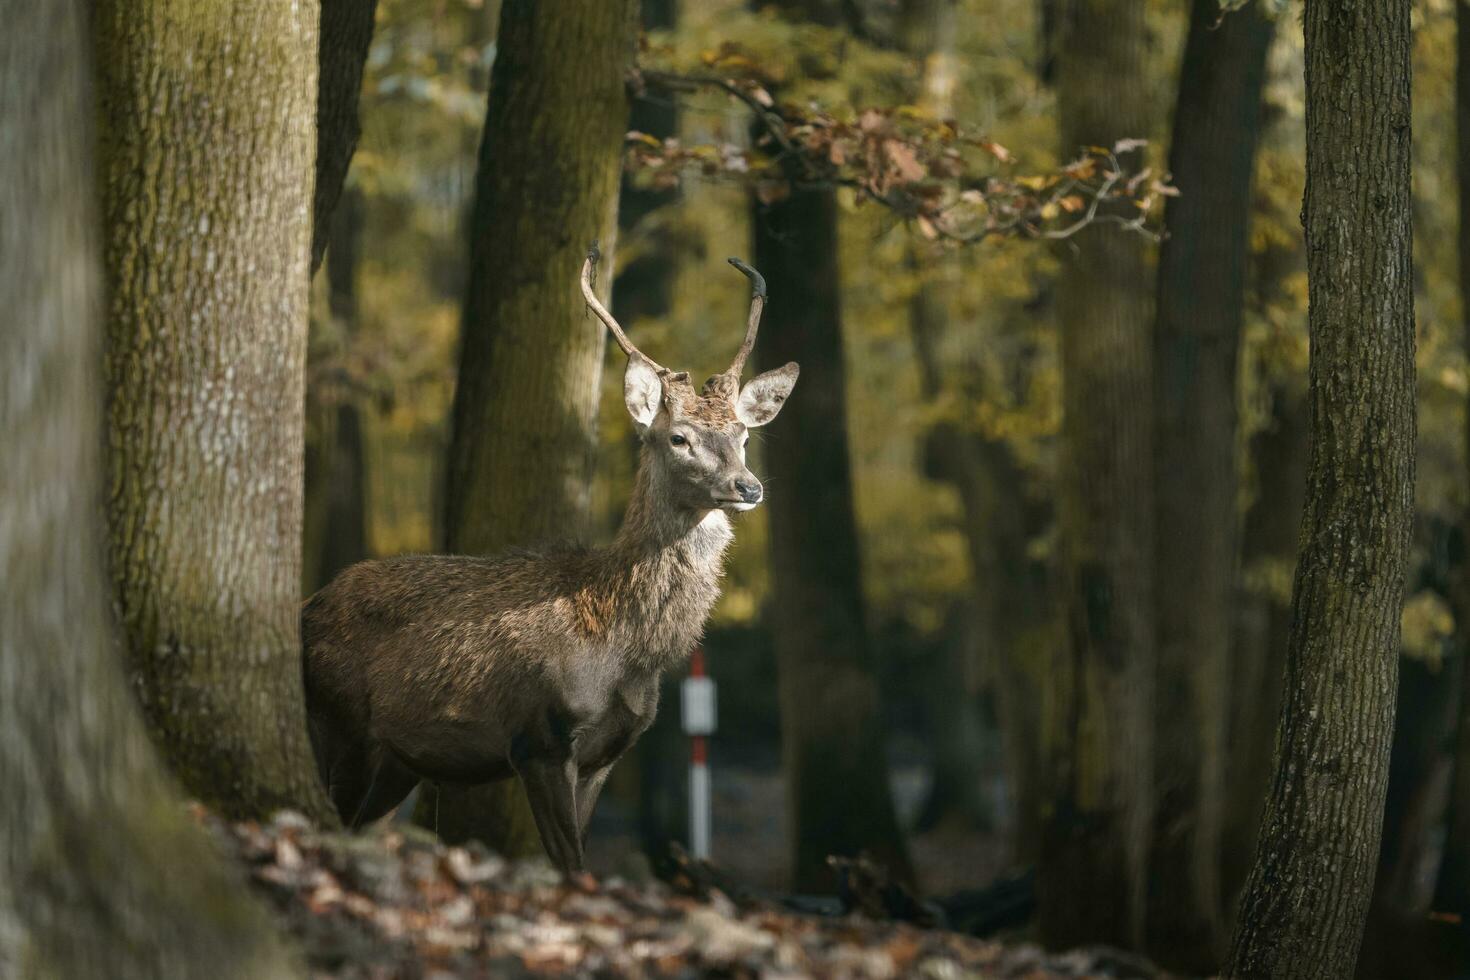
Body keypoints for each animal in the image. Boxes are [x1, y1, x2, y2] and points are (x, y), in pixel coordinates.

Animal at [298, 246, 799, 875]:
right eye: (678, 438)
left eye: (743, 437)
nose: (748, 486)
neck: (626, 648)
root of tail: (303, 608)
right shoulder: (540, 737)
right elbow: (569, 863)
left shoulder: (606, 754)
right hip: (339, 724)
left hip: (396, 759)